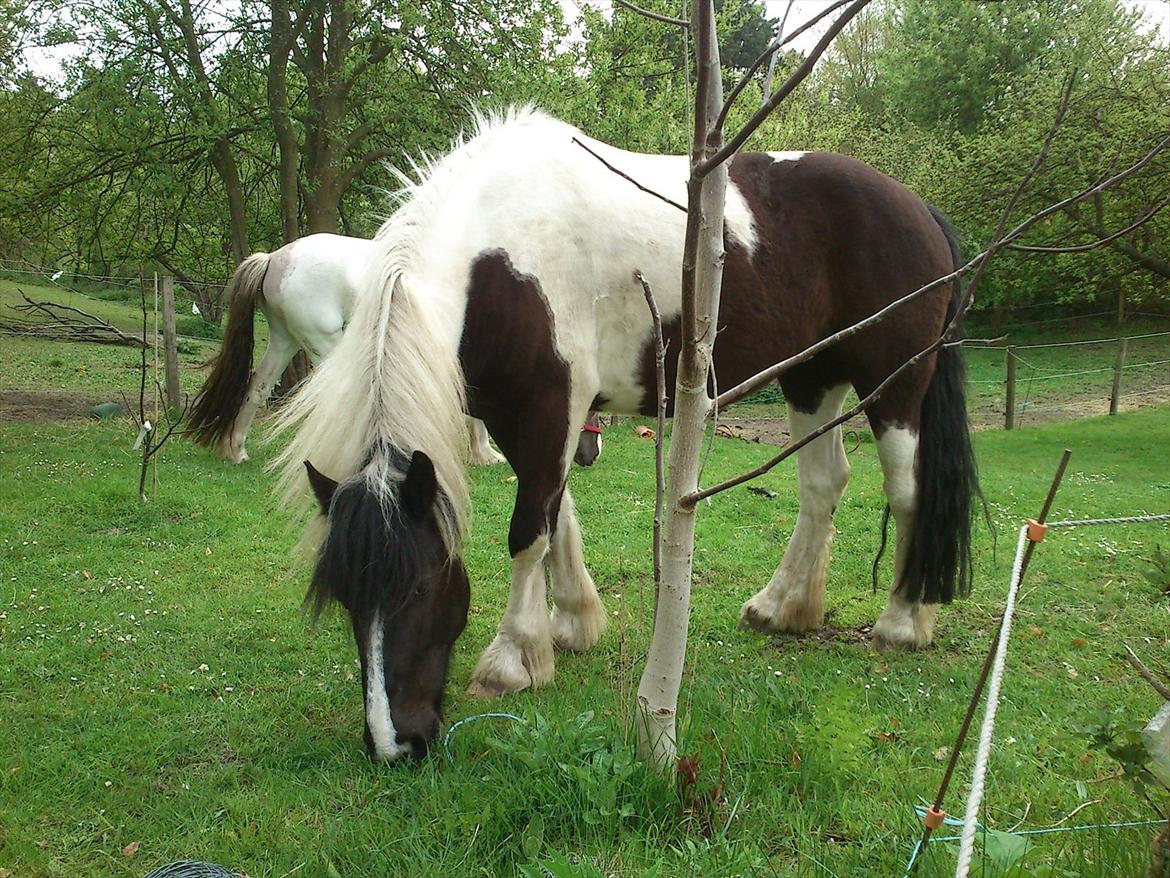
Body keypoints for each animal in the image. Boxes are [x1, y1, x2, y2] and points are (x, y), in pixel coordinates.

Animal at [189, 231, 603, 468]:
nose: (591, 453)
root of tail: (276, 259)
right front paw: (484, 454)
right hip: (326, 344)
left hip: (284, 340)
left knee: (256, 388)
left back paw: (236, 449)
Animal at [273, 110, 978, 763]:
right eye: (345, 596)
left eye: (418, 587)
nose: (394, 745)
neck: (499, 257)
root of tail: (917, 206)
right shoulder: (526, 414)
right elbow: (555, 512)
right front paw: (571, 622)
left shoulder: (548, 406)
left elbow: (528, 531)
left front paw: (512, 659)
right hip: (812, 377)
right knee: (824, 485)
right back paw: (781, 607)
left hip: (894, 384)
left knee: (906, 490)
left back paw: (903, 622)